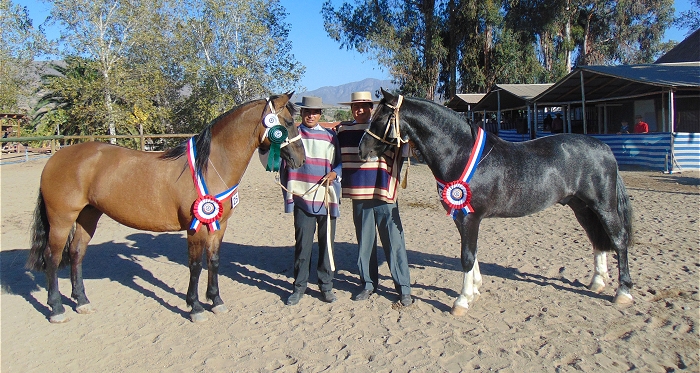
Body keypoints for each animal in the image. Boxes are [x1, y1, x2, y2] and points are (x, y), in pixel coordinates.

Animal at [26, 91, 304, 322]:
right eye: (289, 123)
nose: (301, 159)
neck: (210, 165)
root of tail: (58, 156)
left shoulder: (219, 225)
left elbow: (213, 261)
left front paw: (216, 301)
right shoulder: (196, 227)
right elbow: (195, 265)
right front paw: (195, 307)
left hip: (87, 216)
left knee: (76, 253)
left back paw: (82, 302)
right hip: (61, 220)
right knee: (52, 257)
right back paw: (57, 308)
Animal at [360, 88, 636, 316]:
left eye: (380, 118)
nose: (363, 149)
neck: (459, 152)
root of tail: (603, 147)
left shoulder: (470, 217)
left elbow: (467, 256)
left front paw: (462, 300)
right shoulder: (463, 217)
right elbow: (471, 253)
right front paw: (474, 290)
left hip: (604, 206)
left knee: (619, 240)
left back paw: (623, 292)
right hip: (581, 206)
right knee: (596, 238)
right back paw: (597, 282)